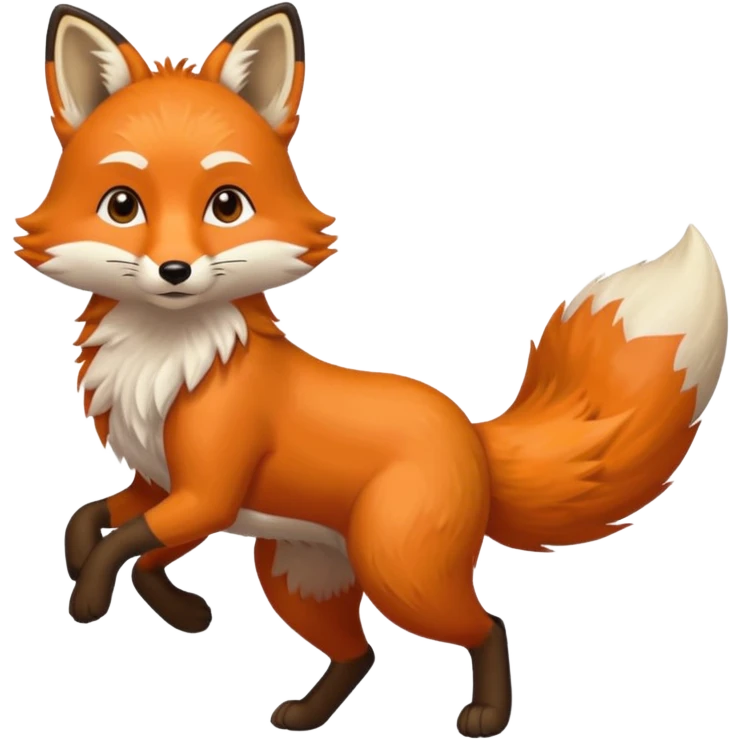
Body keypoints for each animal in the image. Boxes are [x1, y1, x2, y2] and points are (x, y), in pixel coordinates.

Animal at [18, 3, 729, 738]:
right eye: (122, 205)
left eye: (227, 204)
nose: (175, 270)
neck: (168, 360)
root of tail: (472, 437)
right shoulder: (158, 482)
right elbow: (92, 523)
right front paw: (160, 601)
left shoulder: (208, 490)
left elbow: (131, 546)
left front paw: (103, 599)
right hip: (300, 574)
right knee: (360, 654)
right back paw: (308, 715)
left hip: (399, 574)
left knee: (486, 626)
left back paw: (486, 716)